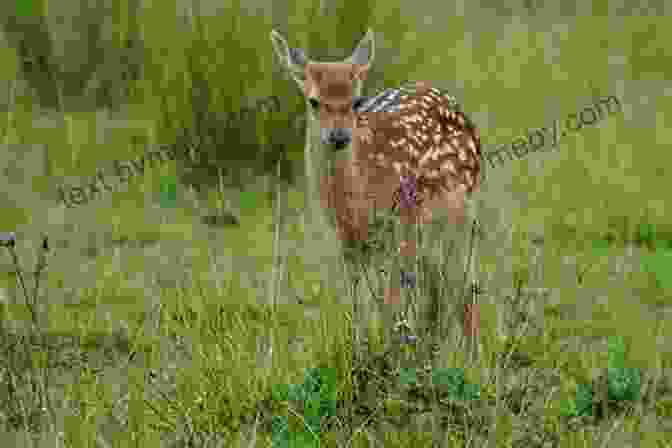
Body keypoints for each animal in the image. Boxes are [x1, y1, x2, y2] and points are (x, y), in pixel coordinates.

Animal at [270, 28, 486, 356]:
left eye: (357, 101)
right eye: (313, 101)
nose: (339, 137)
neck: (357, 198)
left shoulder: (400, 224)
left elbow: (391, 303)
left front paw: (389, 355)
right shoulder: (346, 241)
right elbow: (356, 300)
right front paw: (361, 352)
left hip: (456, 210)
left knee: (462, 285)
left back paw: (472, 357)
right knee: (436, 287)